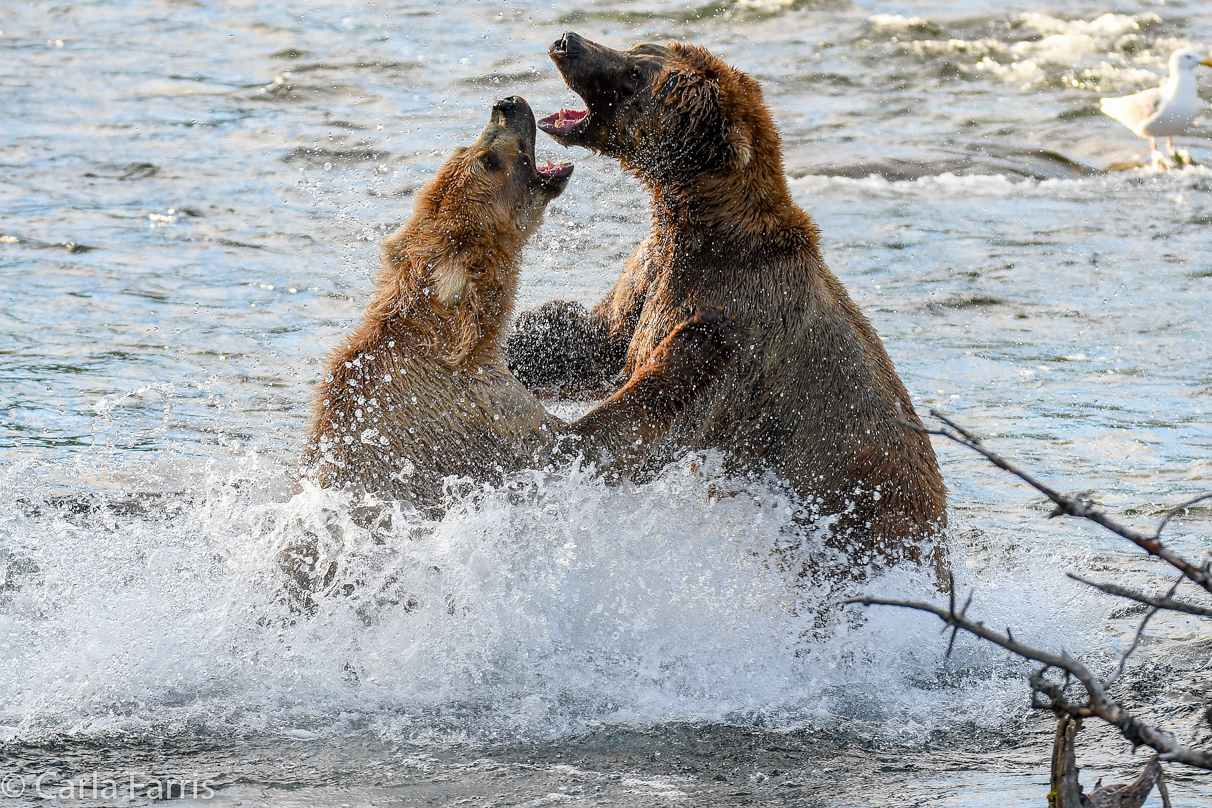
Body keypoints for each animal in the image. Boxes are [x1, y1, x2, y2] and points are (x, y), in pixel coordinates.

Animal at [303, 96, 736, 511]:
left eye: (464, 147)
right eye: (488, 159)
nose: (506, 104)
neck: (466, 336)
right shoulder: (469, 414)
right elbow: (581, 447)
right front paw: (700, 334)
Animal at [501, 36, 945, 569]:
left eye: (635, 73)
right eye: (639, 46)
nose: (568, 42)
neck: (702, 228)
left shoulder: (740, 323)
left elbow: (655, 413)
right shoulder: (652, 274)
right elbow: (594, 341)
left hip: (861, 526)